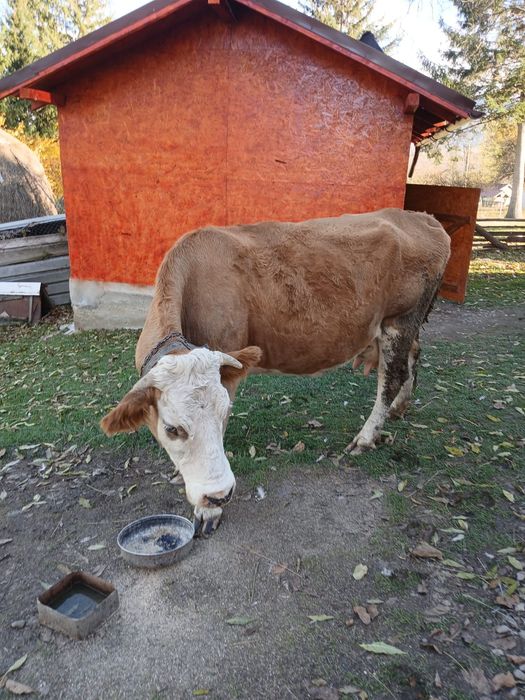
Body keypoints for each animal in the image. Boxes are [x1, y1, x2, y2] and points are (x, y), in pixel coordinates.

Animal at [101, 208, 450, 535]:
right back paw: (399, 408)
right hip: (407, 326)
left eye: (223, 414)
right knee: (413, 357)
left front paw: (209, 511)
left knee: (391, 379)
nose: (218, 495)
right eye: (172, 429)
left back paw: (365, 437)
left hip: (400, 320)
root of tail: (422, 218)